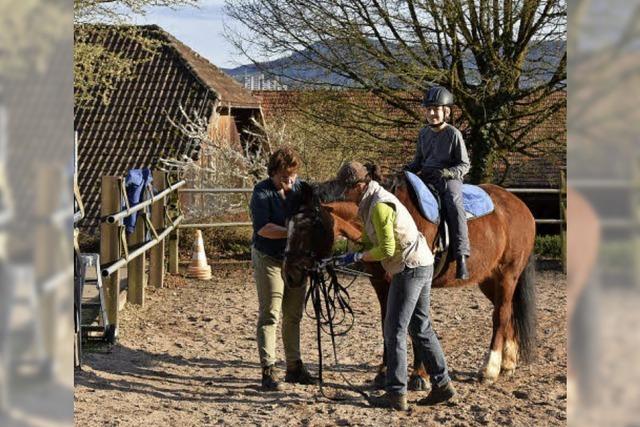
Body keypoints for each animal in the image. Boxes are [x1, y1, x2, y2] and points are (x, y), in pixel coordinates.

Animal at [282, 174, 536, 384]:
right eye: (289, 225)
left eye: (308, 226)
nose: (290, 273)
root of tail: (519, 205)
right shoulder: (382, 284)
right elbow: (387, 323)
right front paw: (385, 371)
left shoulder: (413, 282)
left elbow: (415, 327)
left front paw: (419, 375)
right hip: (489, 280)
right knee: (508, 312)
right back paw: (508, 364)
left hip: (507, 275)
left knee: (500, 315)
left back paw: (490, 369)